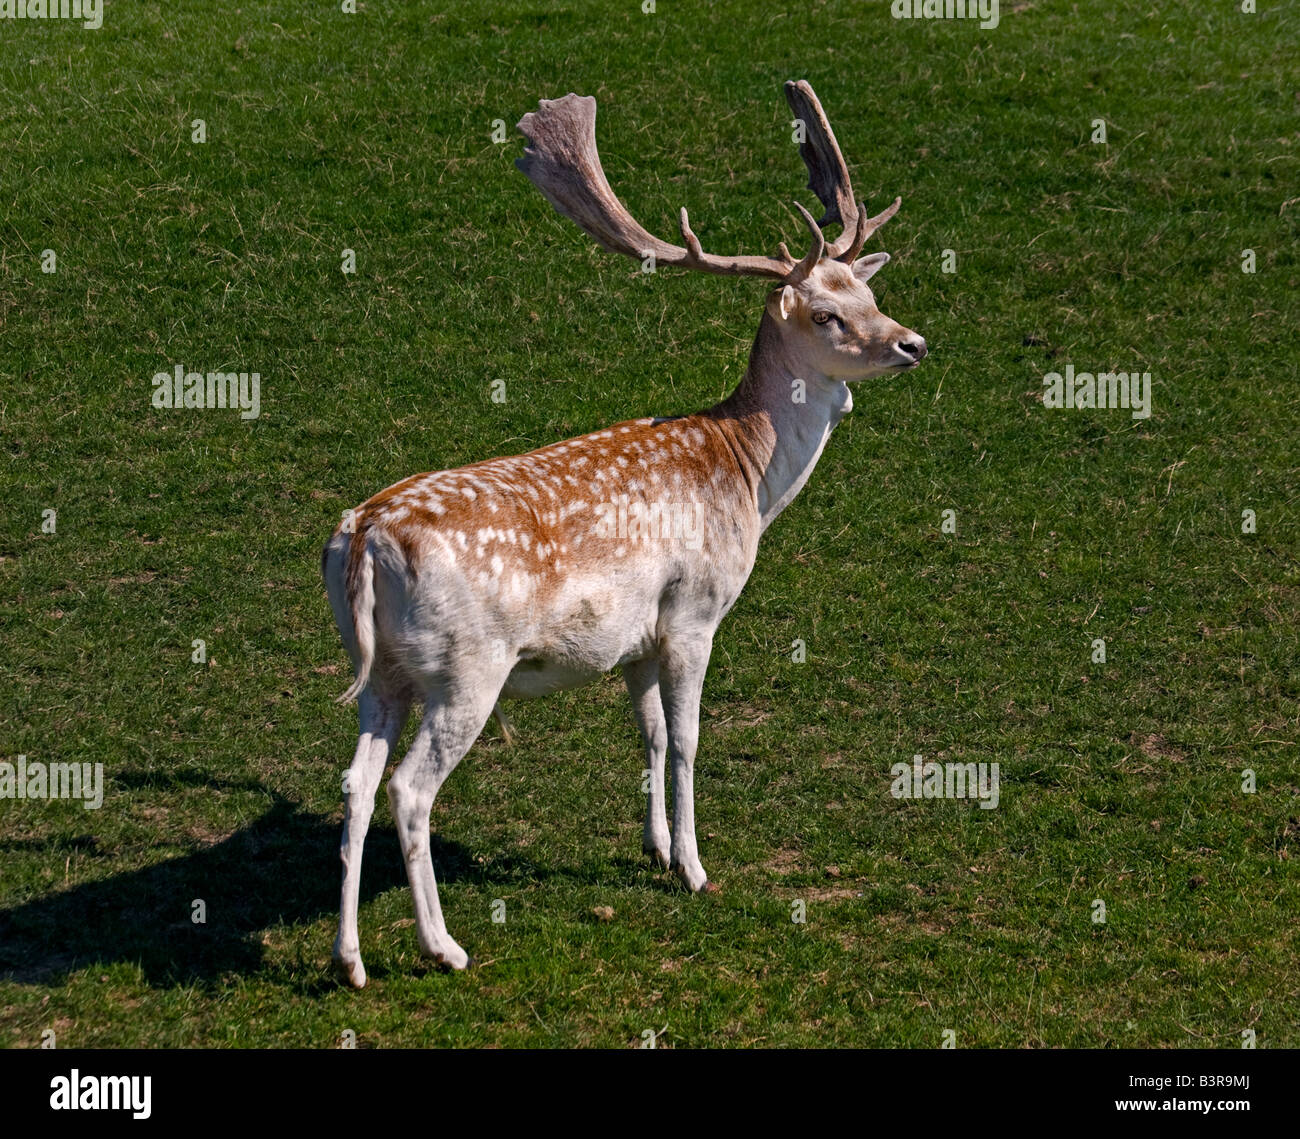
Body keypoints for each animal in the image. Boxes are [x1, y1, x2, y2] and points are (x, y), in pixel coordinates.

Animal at [323, 82, 925, 988]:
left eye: (871, 294)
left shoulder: (635, 636)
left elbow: (647, 731)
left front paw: (655, 849)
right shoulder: (695, 611)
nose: (912, 343)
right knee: (409, 790)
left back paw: (350, 958)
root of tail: (362, 535)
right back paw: (444, 946)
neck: (746, 476)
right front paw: (698, 868)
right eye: (827, 313)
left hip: (383, 674)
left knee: (356, 784)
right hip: (466, 668)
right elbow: (688, 738)